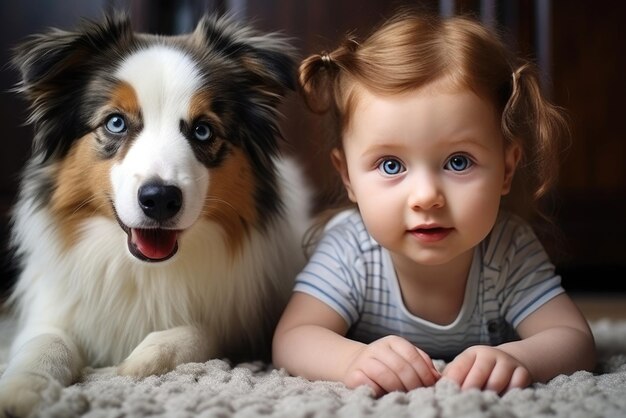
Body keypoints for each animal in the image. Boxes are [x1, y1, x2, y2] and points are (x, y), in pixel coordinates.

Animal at [0, 13, 308, 418]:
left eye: (203, 130)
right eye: (115, 123)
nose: (160, 199)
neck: (143, 271)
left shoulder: (247, 321)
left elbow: (203, 331)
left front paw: (138, 361)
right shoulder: (51, 309)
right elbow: (44, 343)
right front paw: (25, 389)